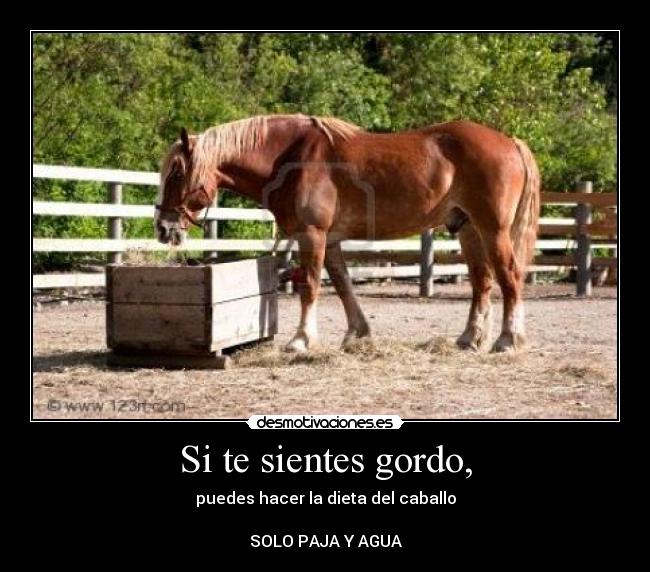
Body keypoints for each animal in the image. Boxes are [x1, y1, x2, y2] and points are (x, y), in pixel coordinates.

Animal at [155, 114, 540, 353]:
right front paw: (357, 333)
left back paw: (507, 340)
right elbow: (342, 286)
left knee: (510, 277)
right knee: (482, 283)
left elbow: (311, 286)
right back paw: (469, 339)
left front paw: (301, 340)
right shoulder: (332, 241)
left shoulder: (312, 235)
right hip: (468, 229)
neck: (291, 158)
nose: (162, 227)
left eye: (176, 173)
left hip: (493, 230)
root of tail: (510, 142)